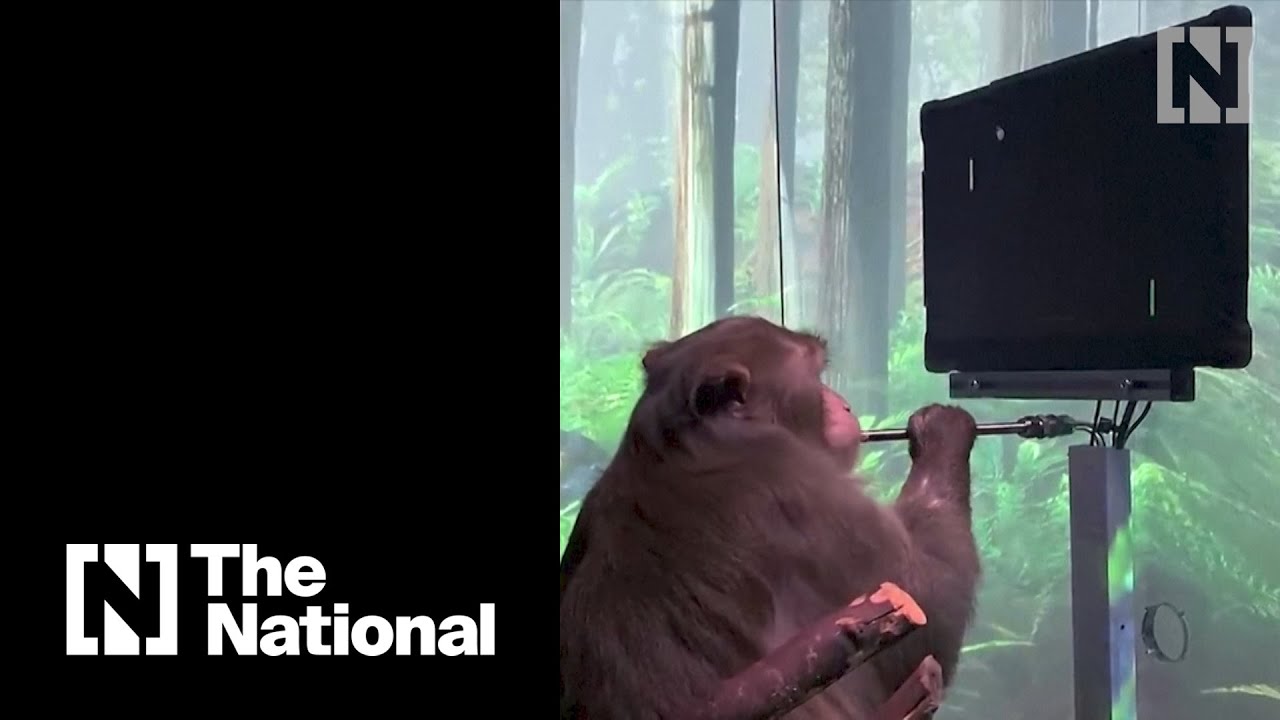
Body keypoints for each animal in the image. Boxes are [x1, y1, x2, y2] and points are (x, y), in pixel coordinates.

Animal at [559, 315, 981, 719]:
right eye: (816, 374)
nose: (844, 405)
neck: (691, 441)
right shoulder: (800, 487)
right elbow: (930, 602)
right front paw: (942, 432)